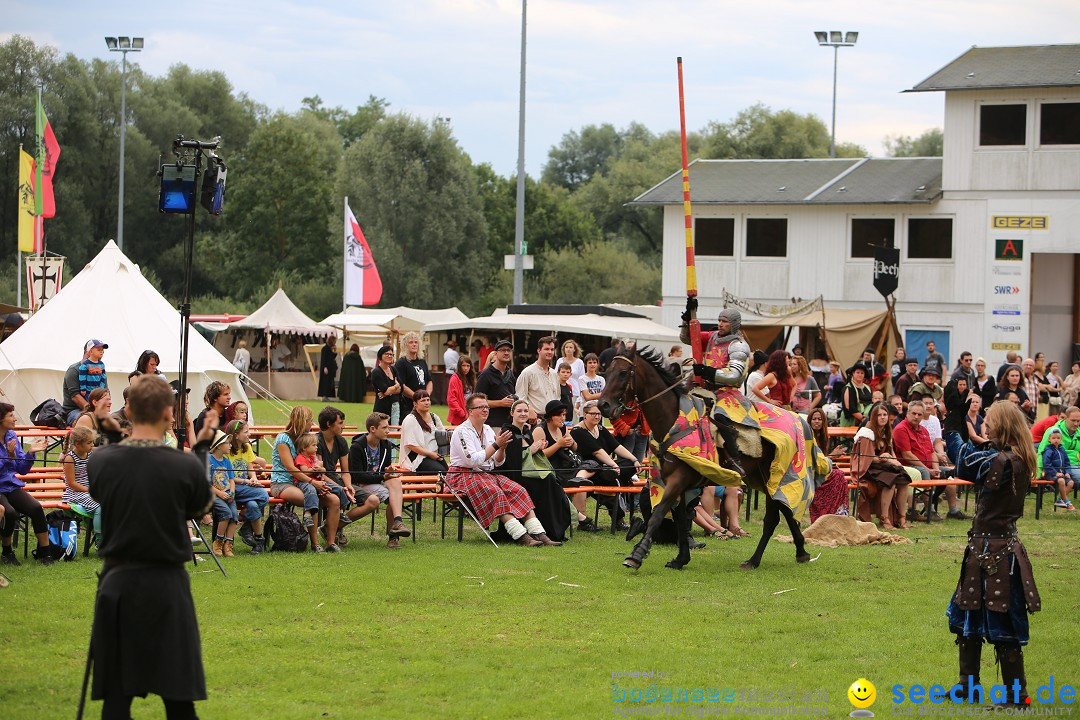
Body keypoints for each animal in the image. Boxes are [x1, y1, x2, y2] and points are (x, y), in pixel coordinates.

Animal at [600, 345, 812, 569]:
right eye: (607, 371)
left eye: (623, 373)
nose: (603, 405)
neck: (674, 419)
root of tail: (795, 417)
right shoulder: (676, 483)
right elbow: (681, 518)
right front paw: (681, 559)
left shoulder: (678, 479)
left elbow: (658, 514)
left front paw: (637, 555)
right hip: (765, 477)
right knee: (783, 512)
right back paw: (797, 552)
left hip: (778, 474)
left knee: (776, 516)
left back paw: (757, 559)